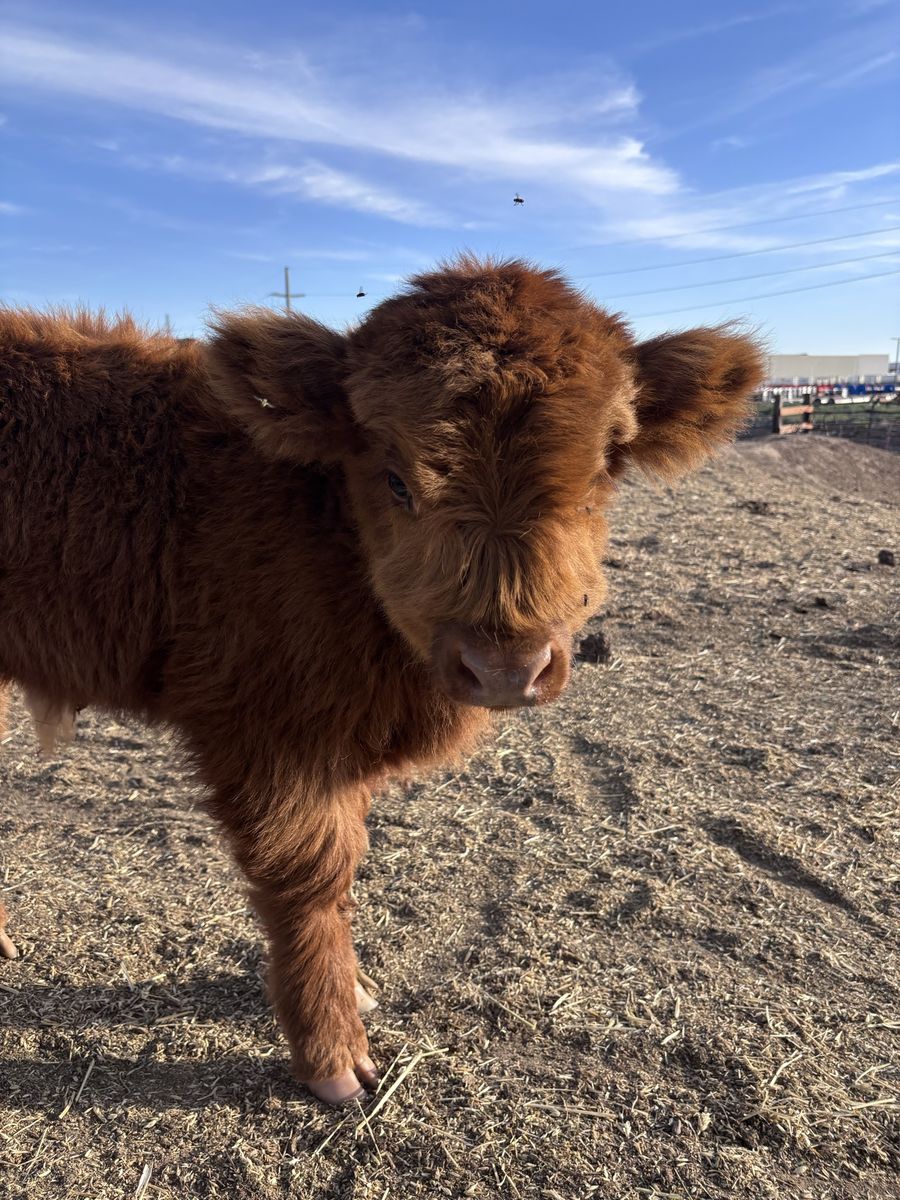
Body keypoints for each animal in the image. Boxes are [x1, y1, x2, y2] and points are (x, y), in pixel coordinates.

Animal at [0, 258, 764, 1105]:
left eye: (601, 474)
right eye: (396, 482)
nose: (505, 668)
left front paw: (356, 990)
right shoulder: (268, 738)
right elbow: (309, 880)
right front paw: (332, 1055)